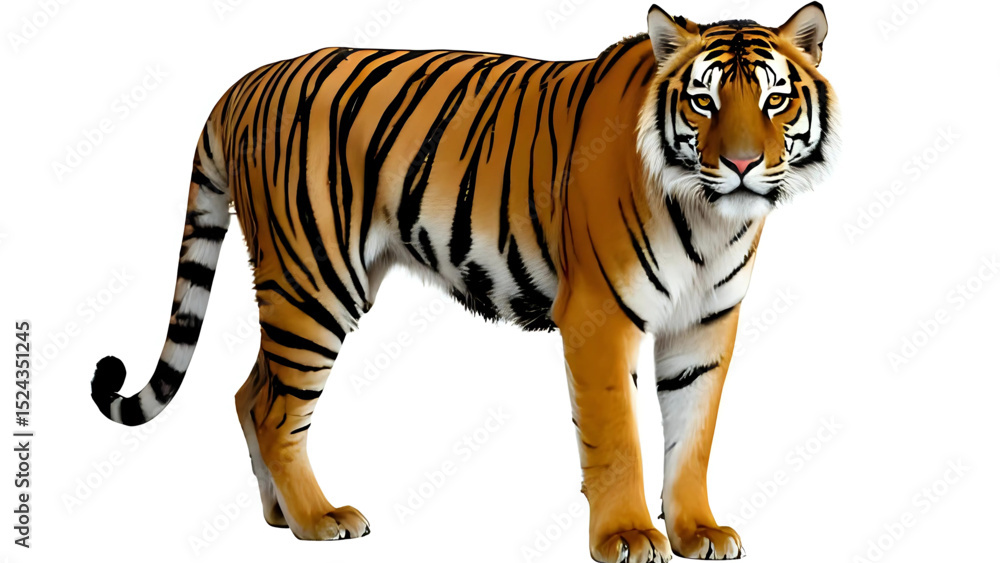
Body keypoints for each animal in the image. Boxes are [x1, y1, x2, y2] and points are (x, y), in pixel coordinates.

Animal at [89, 3, 837, 561]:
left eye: (775, 99)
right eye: (703, 102)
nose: (741, 165)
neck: (710, 218)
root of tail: (243, 83)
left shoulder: (704, 325)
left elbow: (692, 436)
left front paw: (697, 532)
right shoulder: (599, 313)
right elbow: (618, 437)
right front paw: (626, 536)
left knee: (252, 390)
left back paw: (278, 514)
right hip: (315, 278)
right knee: (276, 407)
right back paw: (320, 520)